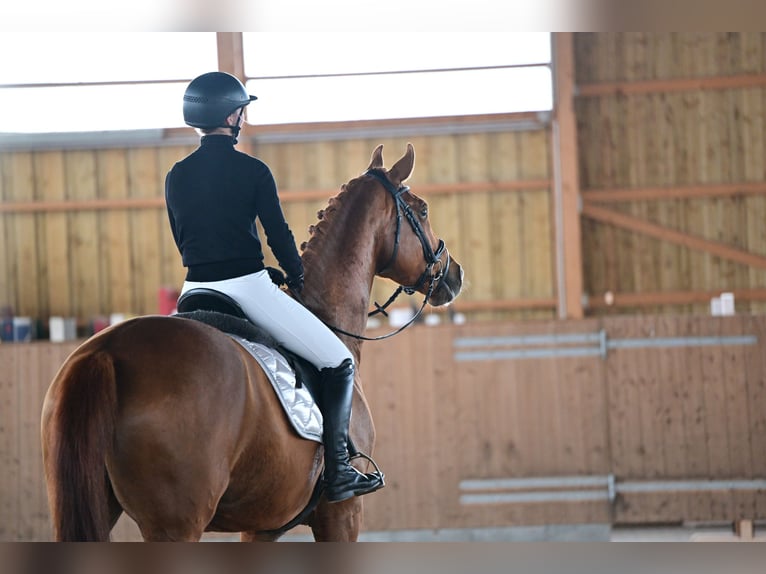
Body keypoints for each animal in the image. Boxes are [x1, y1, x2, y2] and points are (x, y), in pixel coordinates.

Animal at [42, 142, 464, 544]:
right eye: (423, 210)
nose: (454, 274)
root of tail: (107, 353)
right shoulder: (342, 514)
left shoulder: (262, 526)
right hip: (176, 524)